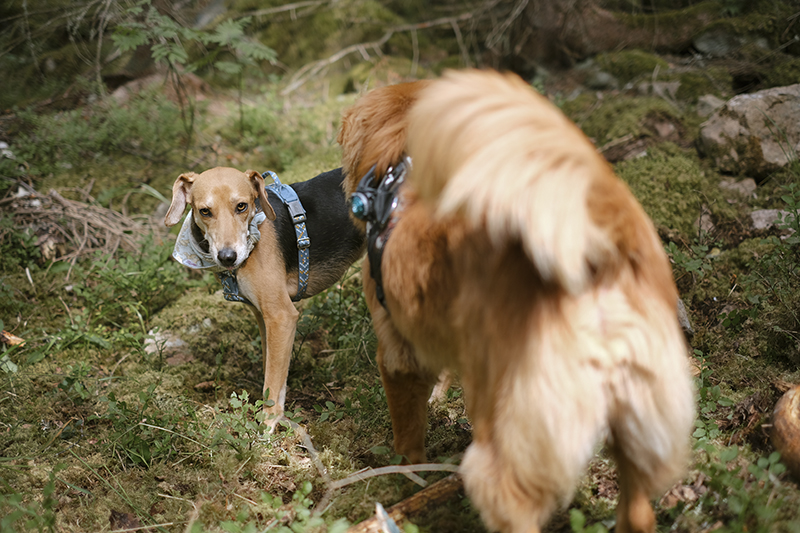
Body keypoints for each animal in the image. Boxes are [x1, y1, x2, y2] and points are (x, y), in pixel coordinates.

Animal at [166, 168, 366, 426]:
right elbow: (273, 374)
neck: (255, 230)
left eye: (241, 206)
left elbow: (271, 384)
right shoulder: (263, 317)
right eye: (205, 211)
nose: (228, 257)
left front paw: (267, 426)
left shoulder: (281, 317)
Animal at [338, 69, 692, 532]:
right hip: (635, 429)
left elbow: (408, 437)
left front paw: (406, 481)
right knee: (637, 511)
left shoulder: (398, 357)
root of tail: (603, 257)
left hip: (510, 441)